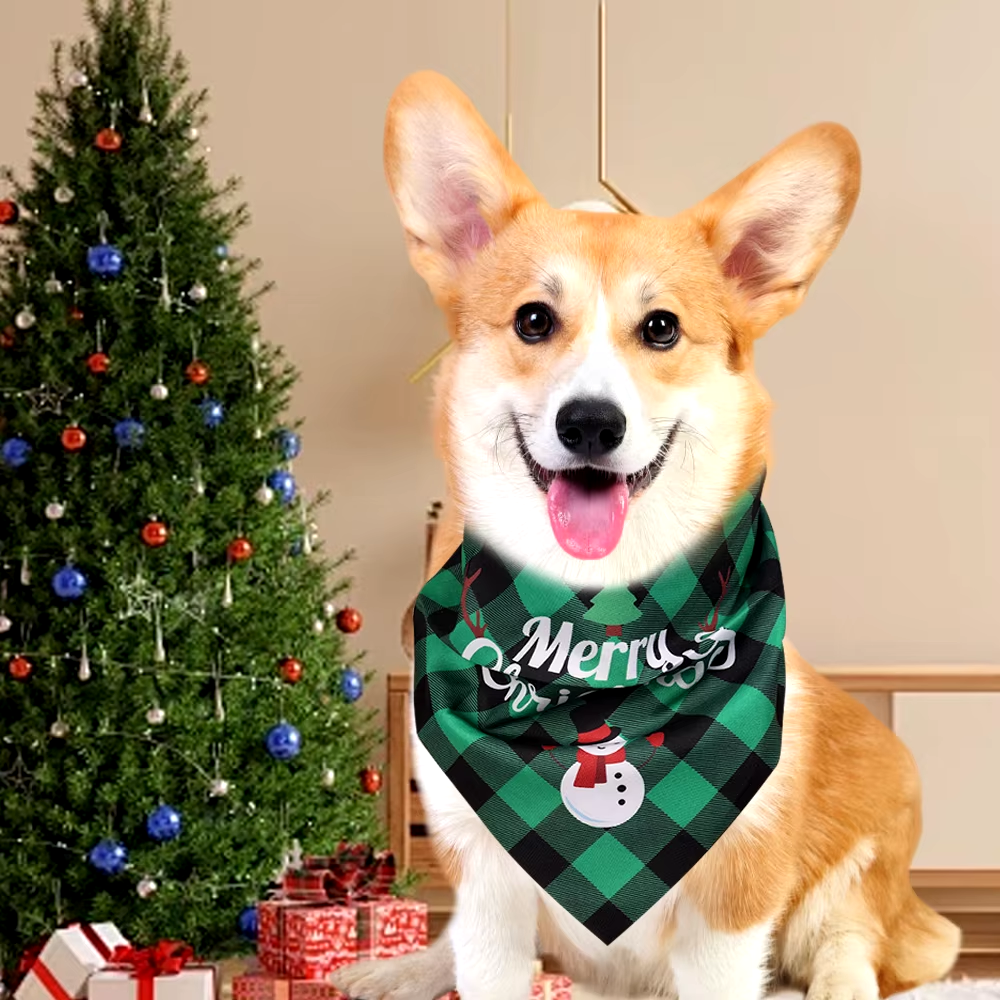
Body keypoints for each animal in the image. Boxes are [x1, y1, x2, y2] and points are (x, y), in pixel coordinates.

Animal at [332, 72, 956, 1000]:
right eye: (532, 320)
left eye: (660, 328)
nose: (591, 423)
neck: (601, 631)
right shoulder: (485, 884)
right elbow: (481, 959)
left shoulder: (733, 899)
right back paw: (393, 970)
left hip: (865, 851)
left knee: (854, 945)